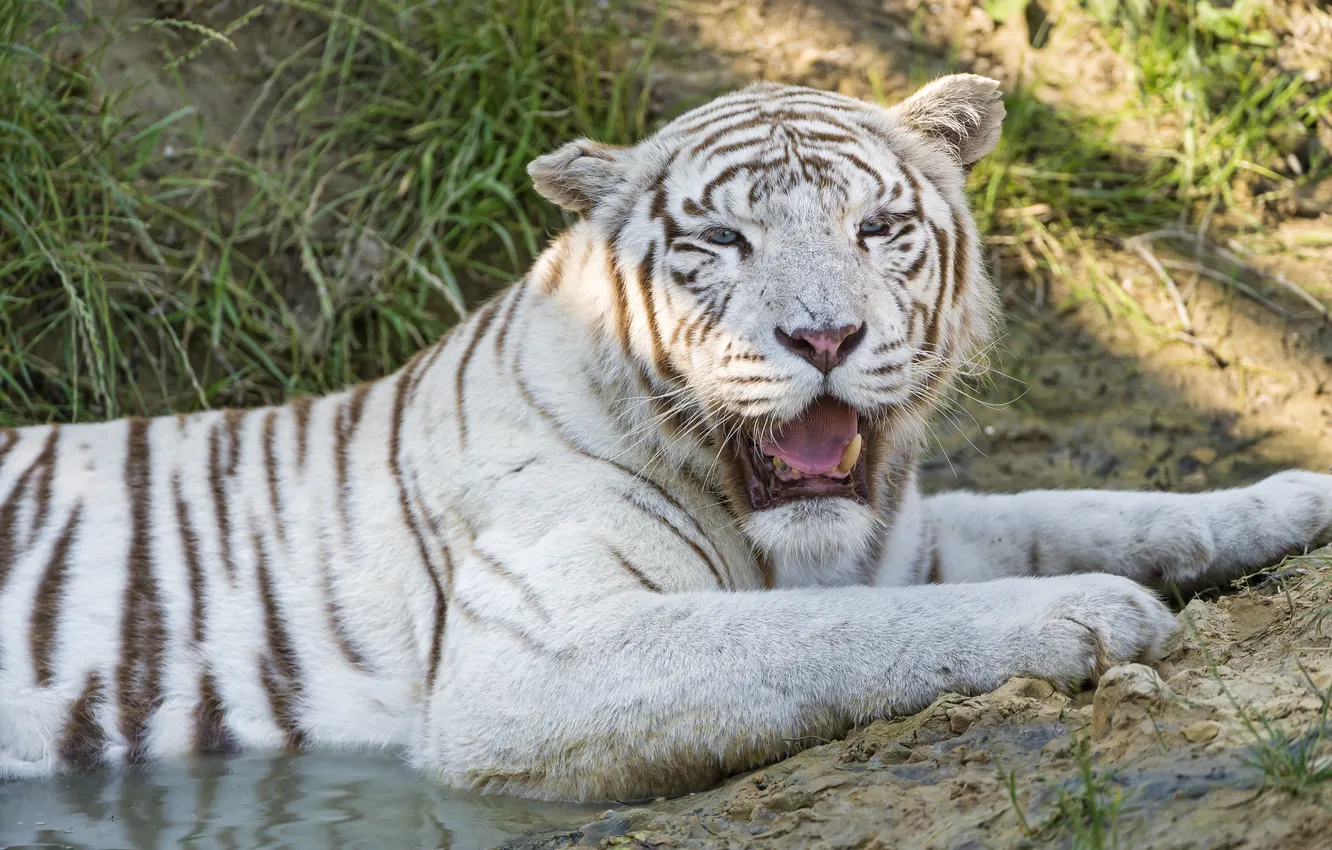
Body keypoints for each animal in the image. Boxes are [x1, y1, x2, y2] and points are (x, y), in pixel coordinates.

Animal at [2, 74, 1332, 804]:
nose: (826, 335)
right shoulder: (529, 663)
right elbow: (837, 635)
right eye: (723, 243)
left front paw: (1293, 498)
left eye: (879, 226)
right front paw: (1089, 614)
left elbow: (1083, 507)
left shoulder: (902, 532)